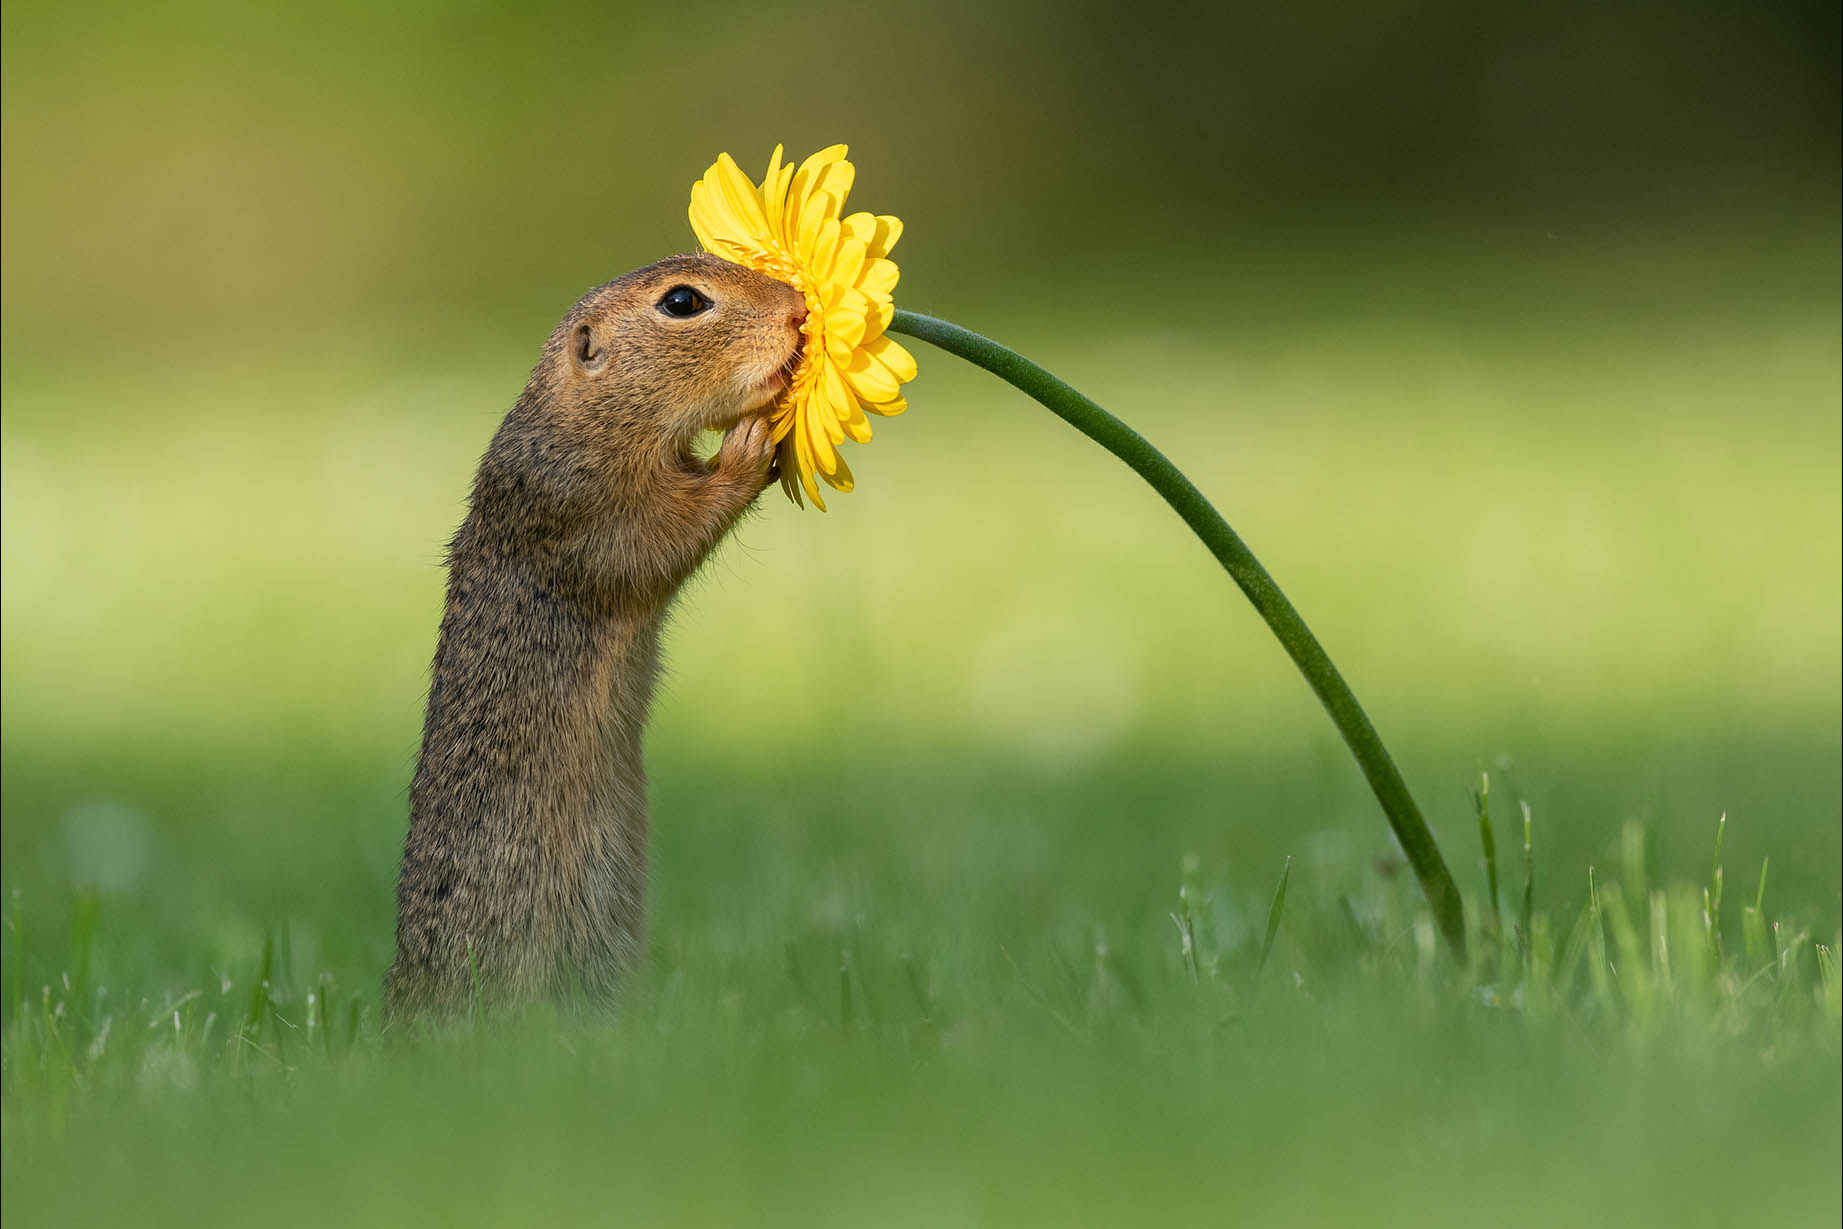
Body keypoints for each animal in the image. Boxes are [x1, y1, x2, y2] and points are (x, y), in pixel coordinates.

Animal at [385, 253, 806, 1016]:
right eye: (682, 302)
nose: (797, 310)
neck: (584, 416)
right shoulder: (588, 505)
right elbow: (666, 534)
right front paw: (750, 444)